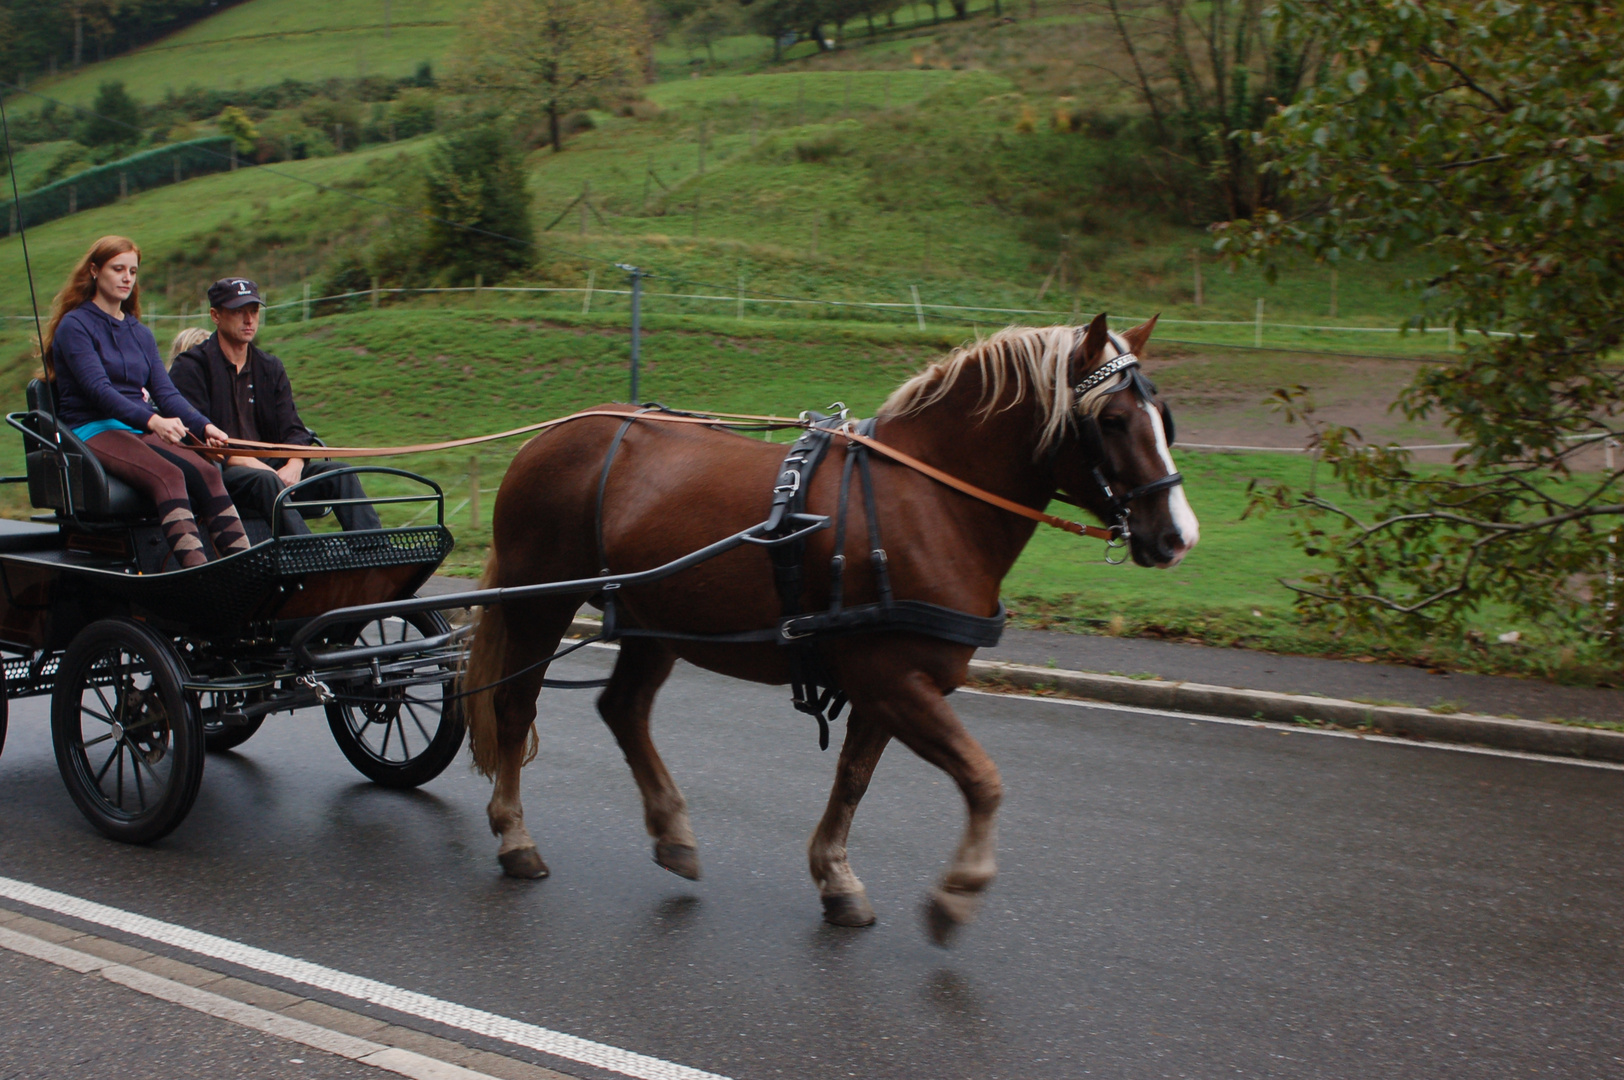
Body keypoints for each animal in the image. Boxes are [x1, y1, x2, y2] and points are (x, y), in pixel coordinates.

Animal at [457, 313, 1195, 941]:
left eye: (1163, 419)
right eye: (1114, 419)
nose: (1177, 536)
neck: (931, 502)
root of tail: (553, 433)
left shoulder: (886, 687)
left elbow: (854, 780)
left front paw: (836, 879)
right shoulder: (895, 681)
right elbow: (982, 779)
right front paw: (959, 889)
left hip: (655, 621)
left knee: (623, 709)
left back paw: (672, 831)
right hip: (539, 605)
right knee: (515, 708)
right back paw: (515, 836)